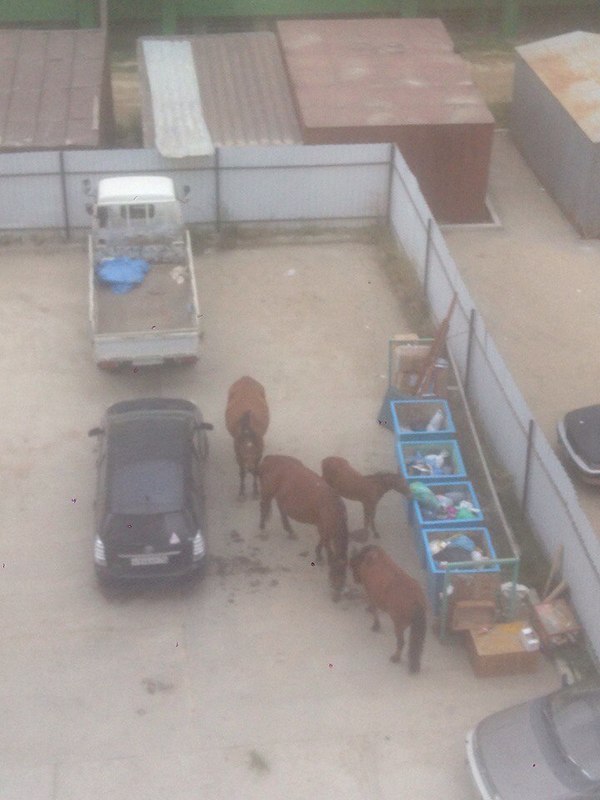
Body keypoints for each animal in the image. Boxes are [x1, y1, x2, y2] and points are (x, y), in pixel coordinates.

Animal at [260, 456, 350, 600]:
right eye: (333, 574)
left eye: (344, 576)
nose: (336, 596)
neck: (331, 508)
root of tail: (268, 459)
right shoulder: (323, 527)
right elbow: (327, 547)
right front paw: (320, 557)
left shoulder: (324, 528)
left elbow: (322, 541)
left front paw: (318, 554)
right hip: (268, 492)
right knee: (264, 507)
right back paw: (263, 530)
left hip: (281, 496)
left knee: (281, 509)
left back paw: (290, 531)